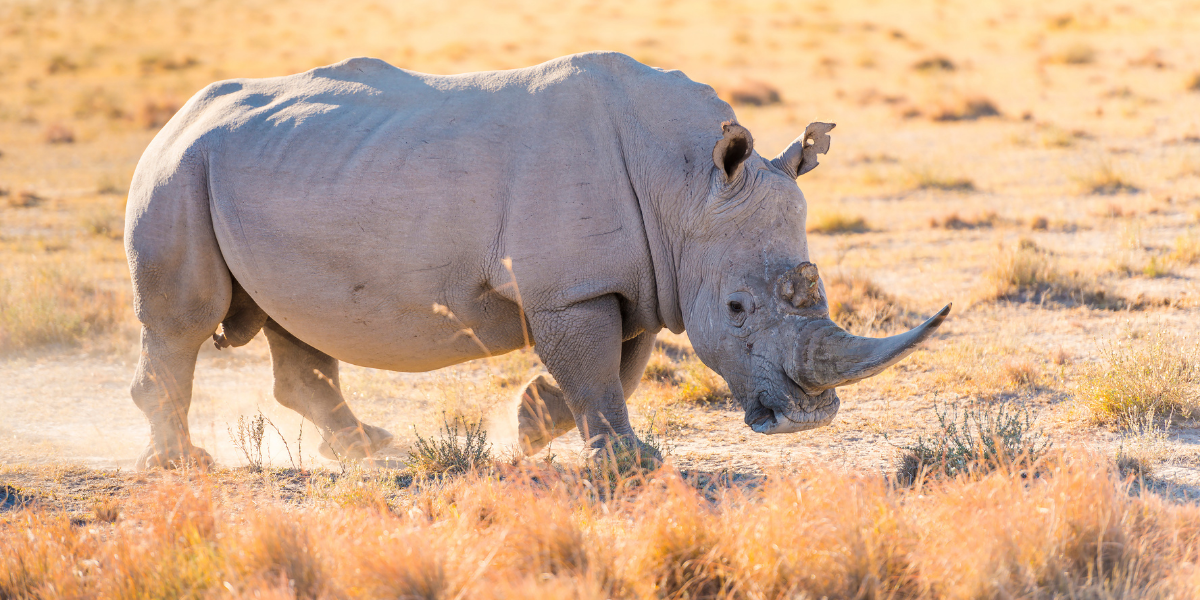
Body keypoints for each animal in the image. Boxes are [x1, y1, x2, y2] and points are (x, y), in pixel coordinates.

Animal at [121, 51, 945, 468]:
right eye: (737, 309)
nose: (807, 420)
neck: (687, 185)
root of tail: (178, 116)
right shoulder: (571, 287)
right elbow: (597, 368)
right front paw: (632, 464)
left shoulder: (630, 280)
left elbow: (618, 366)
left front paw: (529, 429)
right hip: (178, 171)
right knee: (183, 321)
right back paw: (182, 466)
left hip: (261, 171)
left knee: (295, 323)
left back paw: (369, 450)